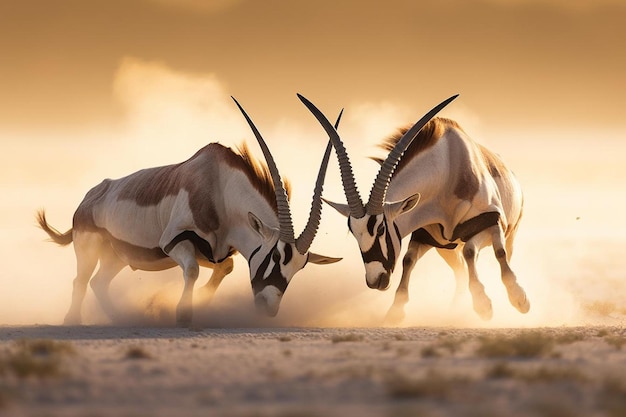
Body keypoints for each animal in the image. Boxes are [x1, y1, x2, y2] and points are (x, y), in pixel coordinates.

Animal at [37, 96, 342, 324]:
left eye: (300, 266)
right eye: (275, 256)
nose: (268, 307)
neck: (219, 186)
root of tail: (91, 196)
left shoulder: (214, 251)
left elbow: (226, 267)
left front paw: (203, 302)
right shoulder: (175, 242)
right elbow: (193, 271)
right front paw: (184, 313)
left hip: (117, 258)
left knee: (98, 283)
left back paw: (121, 317)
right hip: (89, 250)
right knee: (80, 281)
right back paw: (73, 320)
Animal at [298, 95, 528, 322]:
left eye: (380, 229)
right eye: (354, 232)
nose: (375, 280)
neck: (449, 171)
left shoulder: (491, 224)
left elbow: (486, 252)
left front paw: (499, 302)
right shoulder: (424, 235)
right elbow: (408, 260)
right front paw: (395, 311)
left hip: (509, 233)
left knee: (494, 253)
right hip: (447, 248)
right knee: (461, 267)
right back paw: (454, 310)